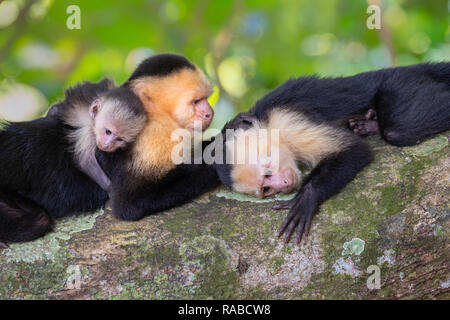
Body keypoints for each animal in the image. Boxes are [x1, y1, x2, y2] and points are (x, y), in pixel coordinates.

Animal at [215, 61, 450, 244]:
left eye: (267, 173)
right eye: (266, 189)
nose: (283, 186)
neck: (265, 122)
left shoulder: (284, 121)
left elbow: (354, 150)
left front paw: (305, 199)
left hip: (402, 83)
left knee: (399, 129)